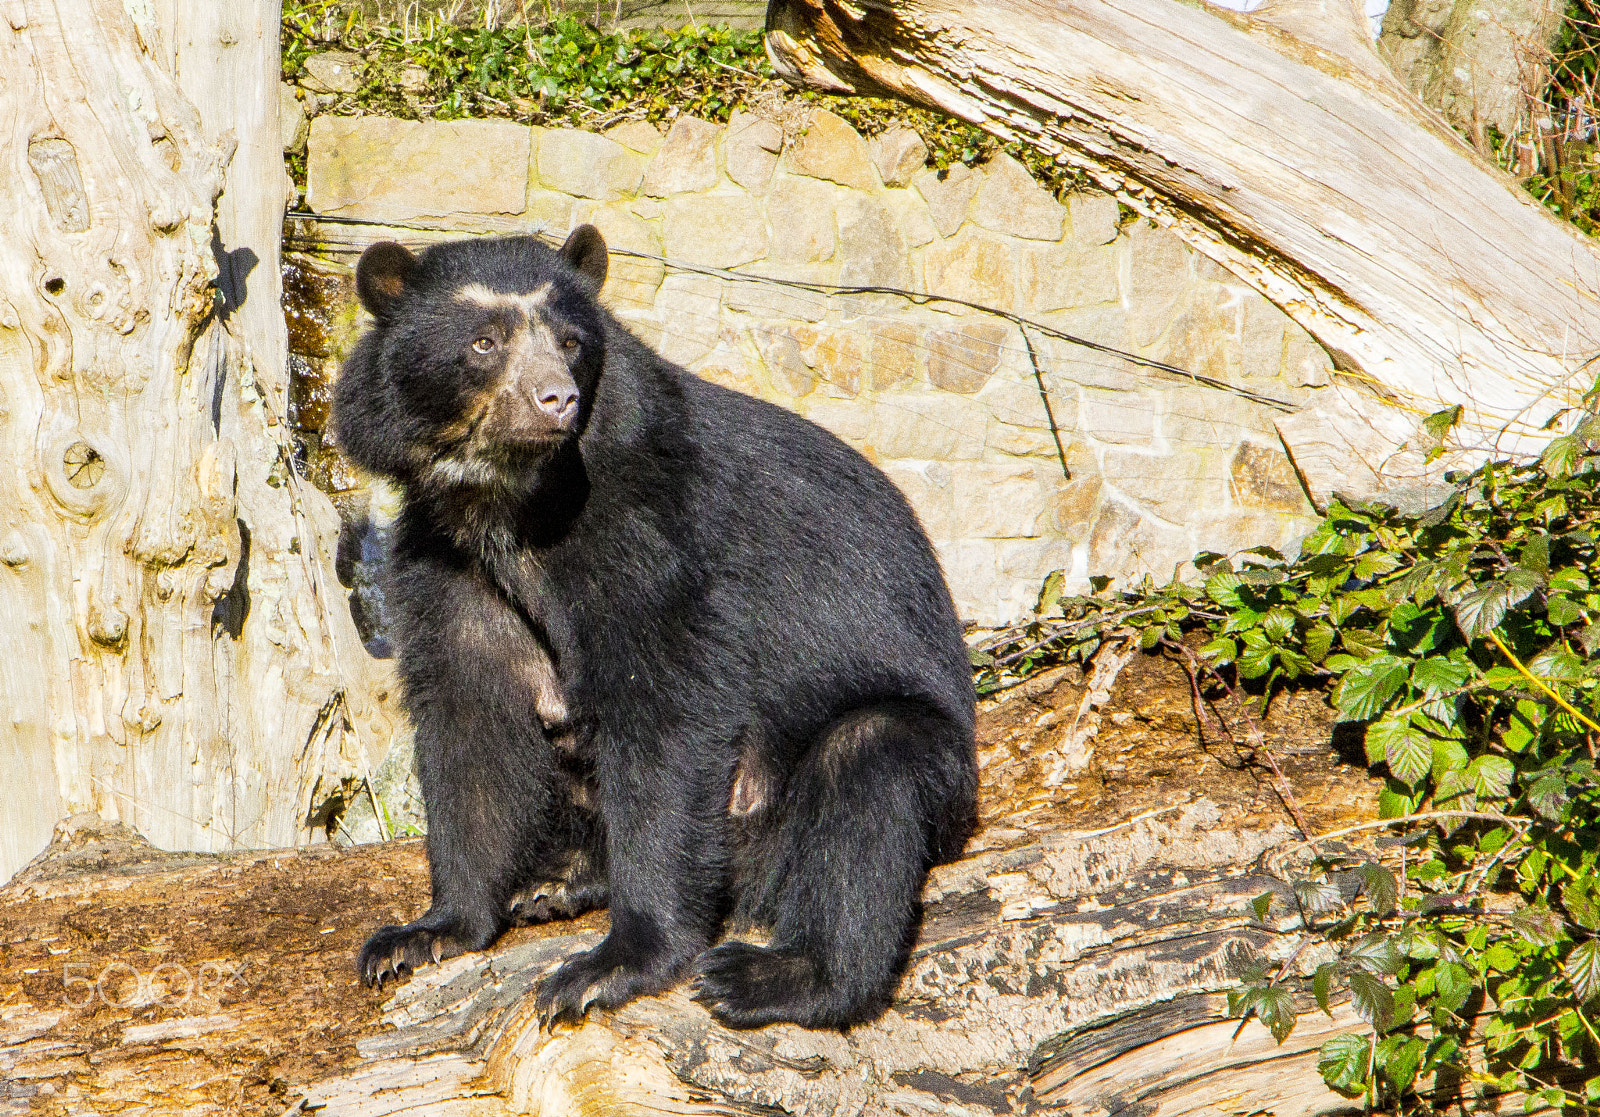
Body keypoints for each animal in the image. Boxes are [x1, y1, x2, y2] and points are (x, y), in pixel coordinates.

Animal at [332, 227, 978, 1029]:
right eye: (484, 342)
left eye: (571, 342)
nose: (557, 399)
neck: (509, 503)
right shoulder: (446, 562)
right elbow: (469, 717)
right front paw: (421, 935)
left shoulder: (654, 538)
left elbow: (665, 716)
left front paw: (605, 968)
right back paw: (561, 880)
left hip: (914, 776)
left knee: (866, 777)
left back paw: (773, 975)